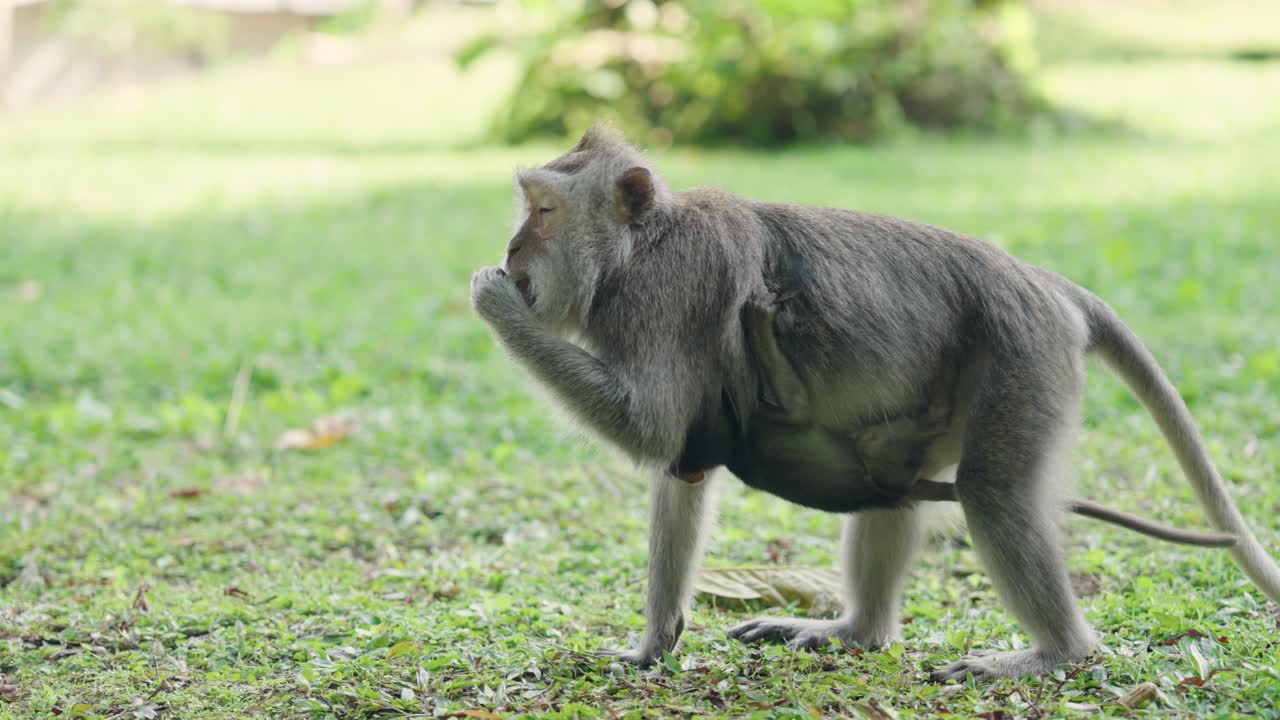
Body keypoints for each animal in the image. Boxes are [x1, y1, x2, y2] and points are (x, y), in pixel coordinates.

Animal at [470, 124, 1280, 682]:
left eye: (543, 210)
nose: (510, 252)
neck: (641, 247)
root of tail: (1044, 283)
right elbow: (685, 463)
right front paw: (650, 646)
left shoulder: (667, 297)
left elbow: (654, 428)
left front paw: (493, 302)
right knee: (893, 492)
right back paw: (857, 632)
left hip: (1023, 356)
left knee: (993, 492)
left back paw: (1055, 653)